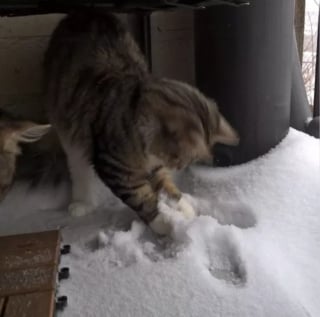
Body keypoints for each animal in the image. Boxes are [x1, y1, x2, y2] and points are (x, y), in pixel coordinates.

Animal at [43, 11, 239, 235]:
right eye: (178, 159)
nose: (178, 166)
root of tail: (85, 12)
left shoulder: (155, 165)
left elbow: (167, 186)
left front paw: (184, 208)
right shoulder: (113, 167)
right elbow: (141, 198)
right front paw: (164, 224)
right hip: (67, 128)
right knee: (77, 165)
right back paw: (81, 203)